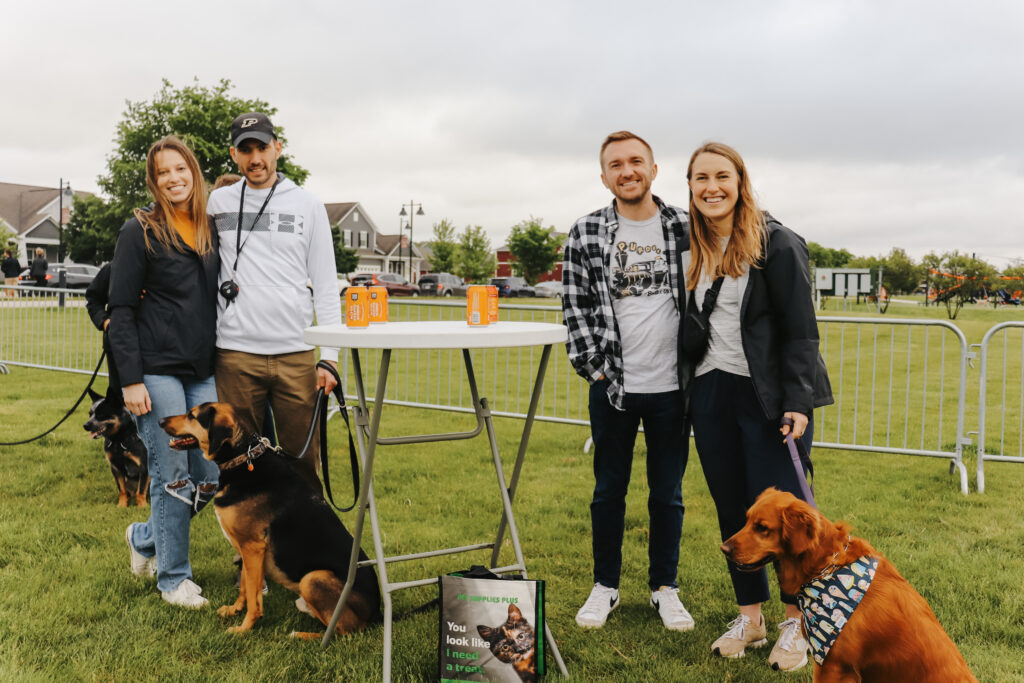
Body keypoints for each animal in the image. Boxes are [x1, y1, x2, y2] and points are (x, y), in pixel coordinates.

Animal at [157, 403, 382, 638]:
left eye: (192, 416)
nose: (160, 421)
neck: (243, 458)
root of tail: (377, 613)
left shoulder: (252, 547)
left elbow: (253, 596)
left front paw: (243, 628)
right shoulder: (245, 549)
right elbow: (245, 587)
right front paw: (235, 610)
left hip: (312, 579)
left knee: (341, 632)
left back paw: (300, 635)